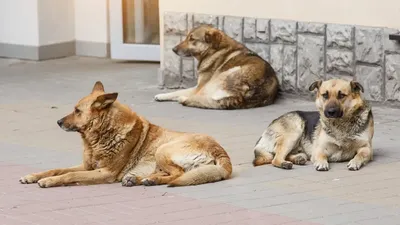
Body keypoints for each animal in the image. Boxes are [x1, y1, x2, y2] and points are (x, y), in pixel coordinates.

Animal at [19, 81, 231, 187]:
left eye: (77, 111)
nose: (58, 122)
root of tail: (221, 152)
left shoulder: (104, 172)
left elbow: (69, 175)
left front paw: (48, 181)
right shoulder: (87, 166)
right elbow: (57, 169)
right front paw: (34, 176)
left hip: (162, 150)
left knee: (178, 174)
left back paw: (148, 180)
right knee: (172, 174)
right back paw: (140, 179)